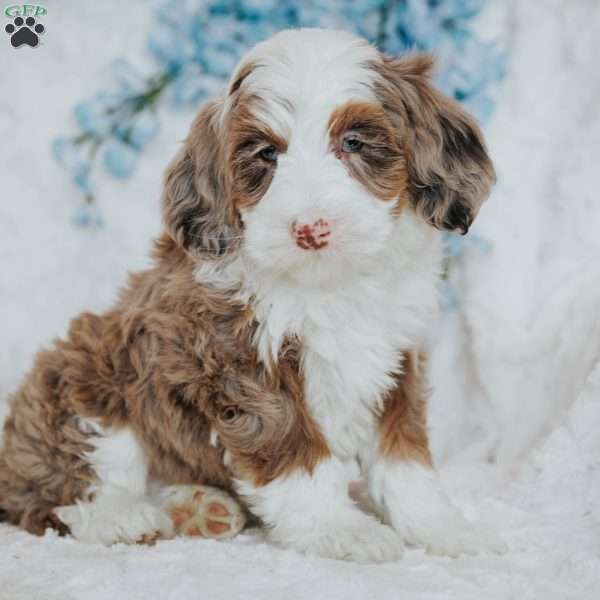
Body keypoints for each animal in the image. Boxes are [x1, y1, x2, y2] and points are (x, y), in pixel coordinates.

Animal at [0, 28, 500, 564]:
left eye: (354, 142)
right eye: (266, 154)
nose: (311, 229)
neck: (330, 282)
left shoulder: (397, 359)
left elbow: (403, 459)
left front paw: (441, 527)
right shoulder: (241, 363)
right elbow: (295, 454)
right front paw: (340, 529)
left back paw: (197, 508)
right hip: (86, 376)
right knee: (63, 491)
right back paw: (125, 516)